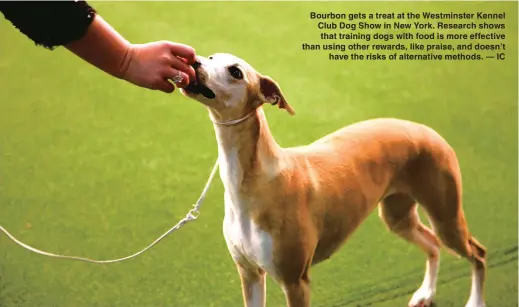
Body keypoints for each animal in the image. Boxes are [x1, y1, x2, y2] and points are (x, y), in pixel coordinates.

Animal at [180, 53, 488, 307]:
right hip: (398, 216)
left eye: (235, 71)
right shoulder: (250, 273)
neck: (254, 182)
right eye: (211, 56)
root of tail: (428, 130)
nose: (193, 61)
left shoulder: (295, 282)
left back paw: (475, 302)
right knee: (433, 244)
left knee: (478, 252)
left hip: (446, 215)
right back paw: (426, 293)